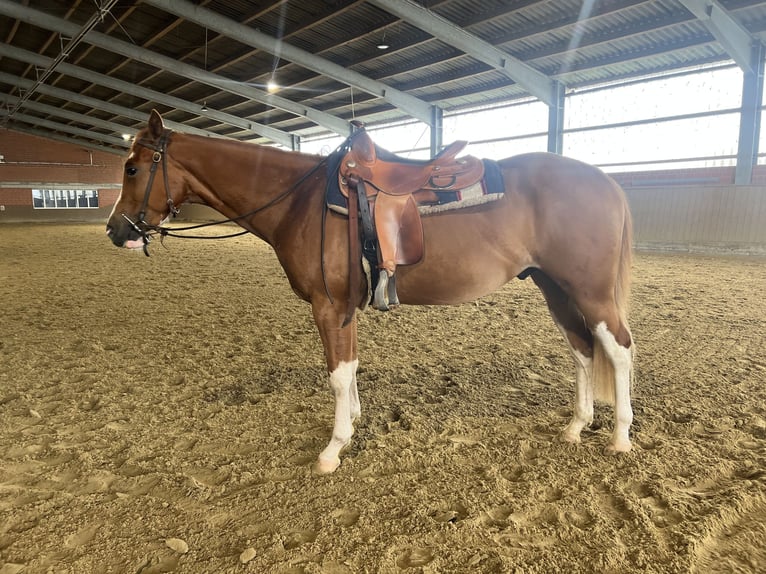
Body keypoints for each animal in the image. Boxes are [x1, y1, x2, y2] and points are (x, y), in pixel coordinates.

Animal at [106, 109, 635, 474]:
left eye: (132, 169)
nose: (116, 230)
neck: (301, 201)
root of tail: (608, 182)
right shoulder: (345, 308)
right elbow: (351, 367)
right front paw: (354, 421)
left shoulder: (328, 306)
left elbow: (338, 375)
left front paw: (333, 448)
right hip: (556, 289)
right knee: (583, 350)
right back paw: (576, 426)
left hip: (590, 292)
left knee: (618, 350)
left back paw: (620, 437)